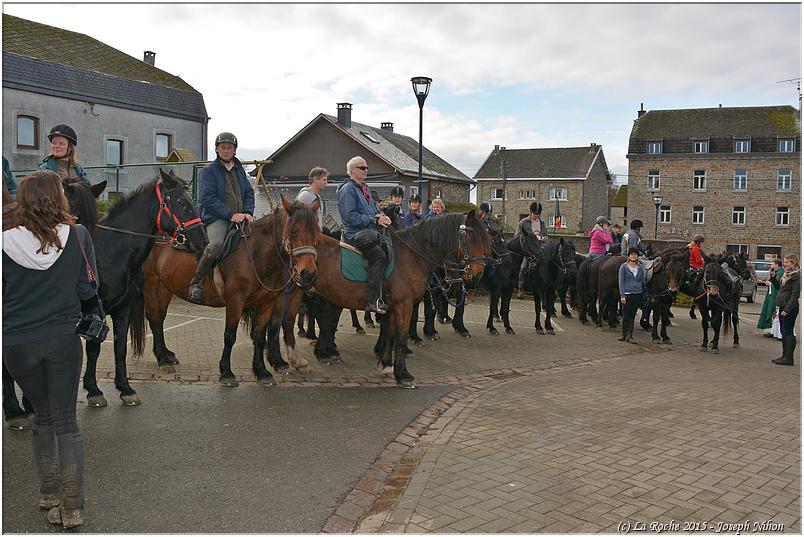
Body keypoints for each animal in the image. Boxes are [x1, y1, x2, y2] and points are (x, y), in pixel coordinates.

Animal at [141, 196, 320, 386]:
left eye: (316, 234)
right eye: (294, 231)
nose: (308, 273)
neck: (256, 254)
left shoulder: (266, 302)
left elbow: (260, 335)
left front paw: (261, 370)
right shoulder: (236, 300)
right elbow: (230, 336)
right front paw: (226, 372)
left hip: (164, 287)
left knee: (159, 319)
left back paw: (166, 355)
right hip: (151, 284)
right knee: (154, 318)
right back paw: (163, 360)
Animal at [282, 209, 490, 386]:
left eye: (486, 240)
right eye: (471, 238)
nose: (478, 275)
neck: (412, 256)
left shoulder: (391, 307)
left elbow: (389, 335)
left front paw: (387, 366)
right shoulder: (404, 304)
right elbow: (401, 338)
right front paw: (403, 374)